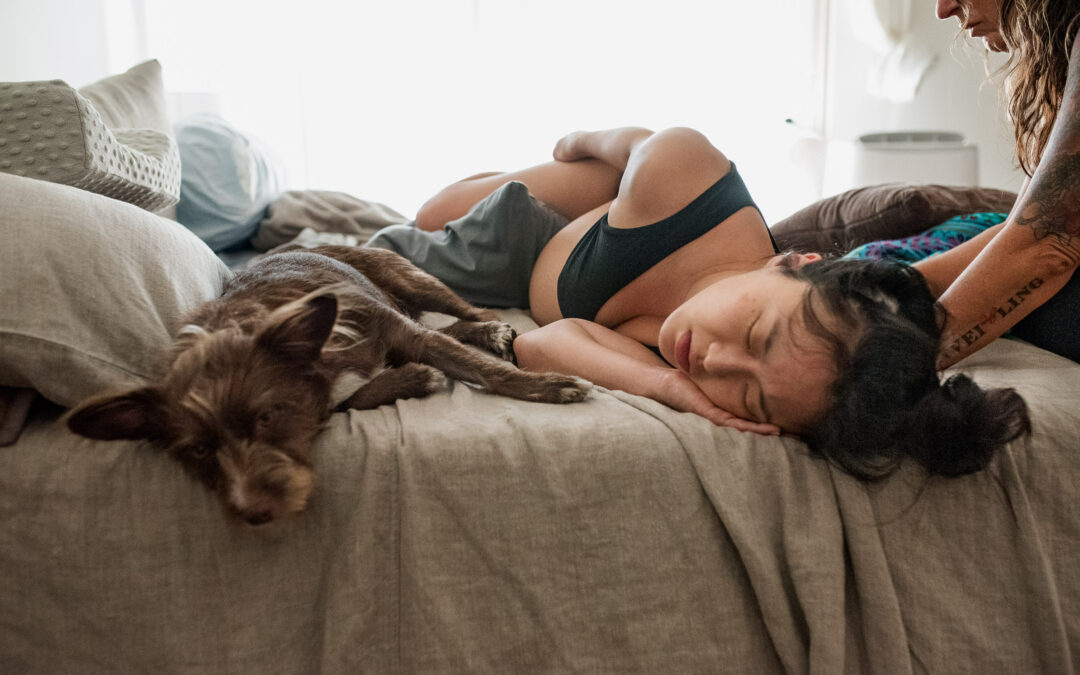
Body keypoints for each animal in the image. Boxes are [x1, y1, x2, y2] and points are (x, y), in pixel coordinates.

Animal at [65, 245, 591, 524]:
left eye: (267, 416)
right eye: (196, 451)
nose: (254, 512)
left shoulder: (399, 331)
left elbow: (483, 370)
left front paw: (547, 385)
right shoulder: (344, 387)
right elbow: (357, 395)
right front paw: (411, 378)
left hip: (412, 280)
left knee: (469, 313)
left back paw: (496, 332)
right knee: (450, 329)